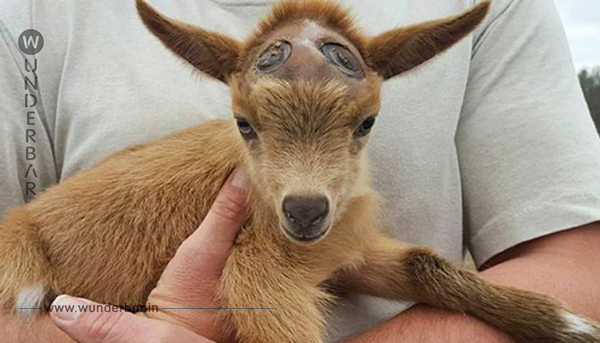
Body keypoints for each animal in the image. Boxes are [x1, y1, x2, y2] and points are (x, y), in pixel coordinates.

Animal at [1, 0, 600, 343]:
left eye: (367, 121)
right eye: (244, 122)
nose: (306, 211)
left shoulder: (342, 251)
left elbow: (425, 264)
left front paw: (565, 324)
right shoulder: (259, 269)